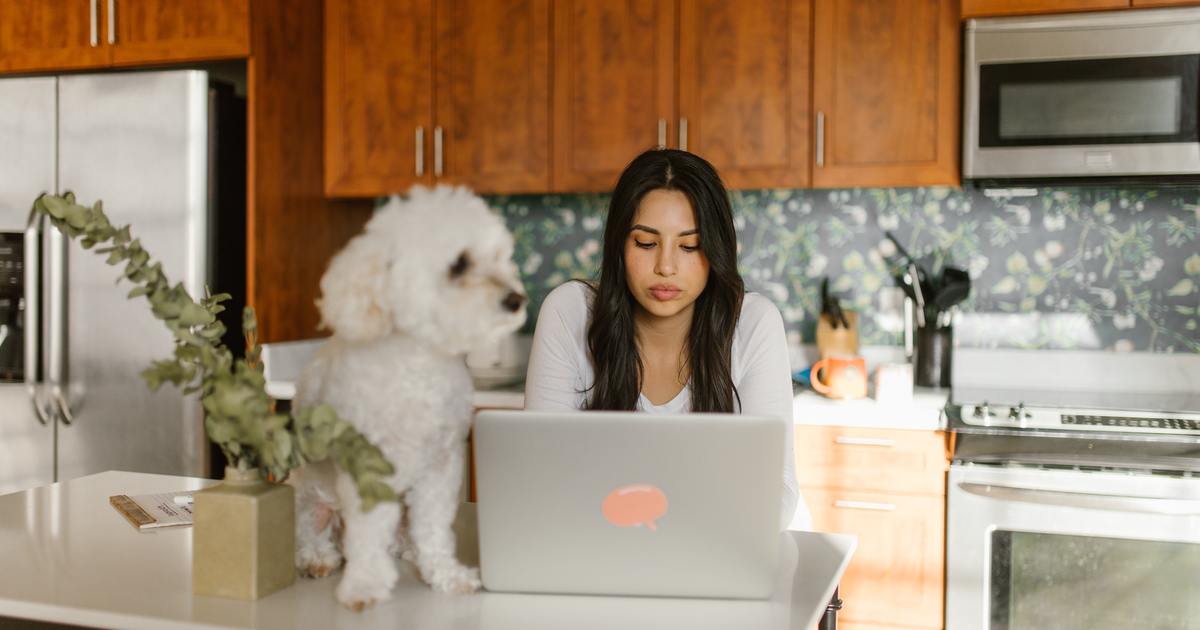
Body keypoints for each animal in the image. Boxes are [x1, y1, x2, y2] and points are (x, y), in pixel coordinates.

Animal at [290, 184, 525, 607]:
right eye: (459, 264)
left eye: (499, 258)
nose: (516, 299)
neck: (419, 364)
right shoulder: (368, 469)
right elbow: (367, 534)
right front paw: (365, 585)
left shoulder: (441, 467)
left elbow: (433, 529)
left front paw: (446, 575)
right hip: (308, 494)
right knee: (314, 533)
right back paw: (317, 557)